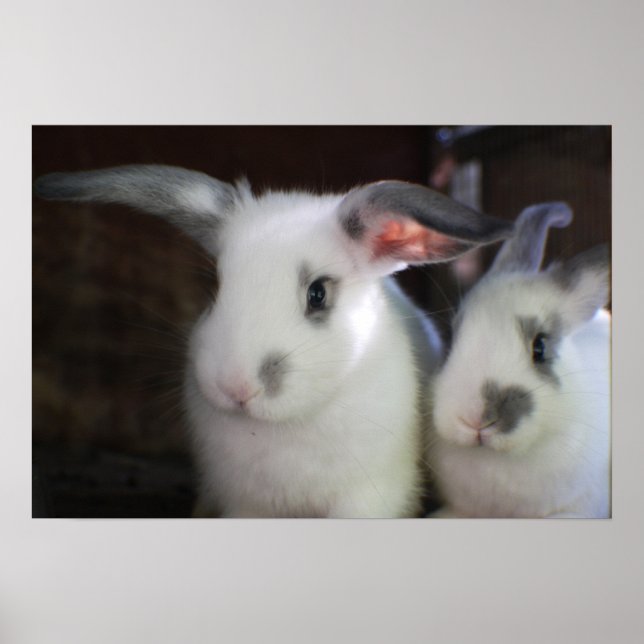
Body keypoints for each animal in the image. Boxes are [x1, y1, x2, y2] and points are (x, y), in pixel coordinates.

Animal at [34, 164, 513, 517]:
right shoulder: (245, 505)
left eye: (318, 294)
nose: (236, 386)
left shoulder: (366, 498)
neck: (284, 425)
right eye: (216, 286)